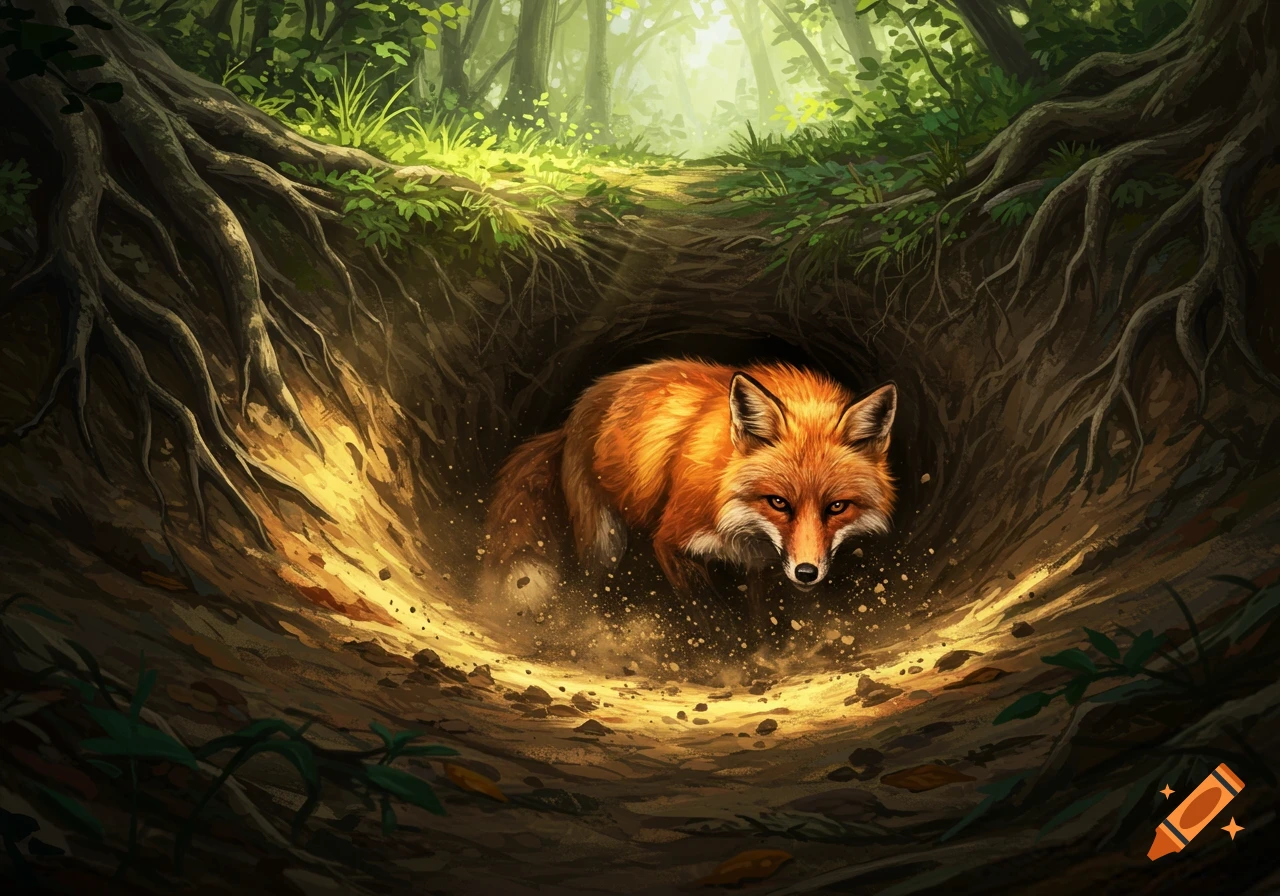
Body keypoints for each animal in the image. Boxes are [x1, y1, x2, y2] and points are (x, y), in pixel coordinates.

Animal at [483, 359, 897, 607]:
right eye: (778, 502)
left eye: (837, 506)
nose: (806, 573)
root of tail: (574, 412)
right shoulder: (671, 543)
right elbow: (713, 619)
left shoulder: (761, 565)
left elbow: (759, 625)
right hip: (605, 543)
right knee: (588, 589)